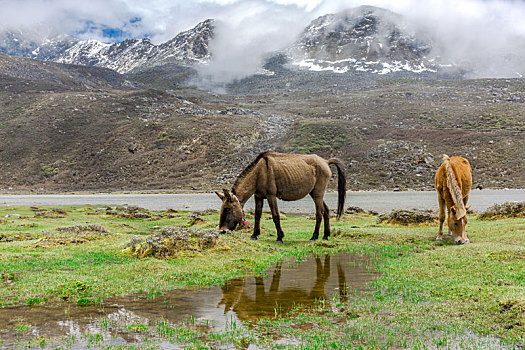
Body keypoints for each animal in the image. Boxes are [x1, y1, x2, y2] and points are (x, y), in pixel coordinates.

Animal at [215, 150, 346, 243]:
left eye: (227, 209)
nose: (222, 230)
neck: (259, 172)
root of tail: (325, 161)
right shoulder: (258, 196)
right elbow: (257, 215)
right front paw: (254, 235)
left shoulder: (271, 196)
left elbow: (275, 216)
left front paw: (280, 237)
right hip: (314, 193)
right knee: (326, 211)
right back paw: (325, 236)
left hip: (318, 193)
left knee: (319, 214)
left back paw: (314, 237)